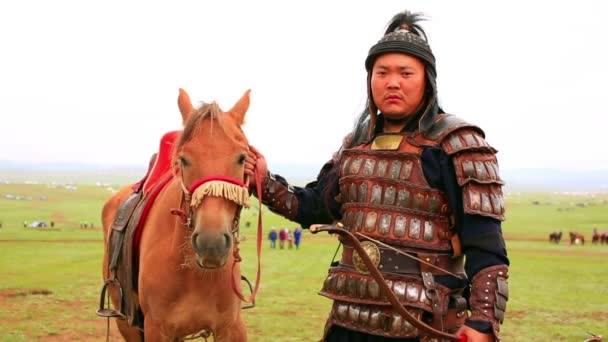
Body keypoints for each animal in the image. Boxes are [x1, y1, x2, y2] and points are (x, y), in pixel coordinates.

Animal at [103, 89, 255, 342]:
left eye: (242, 158)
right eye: (184, 159)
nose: (211, 244)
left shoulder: (232, 327)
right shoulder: (156, 329)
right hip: (127, 324)